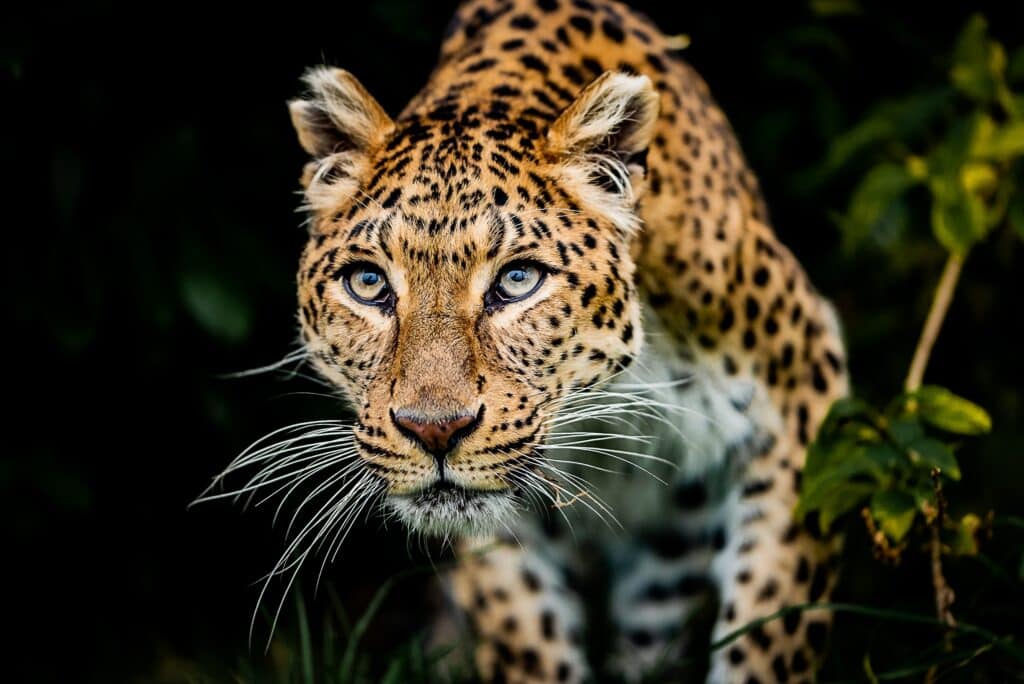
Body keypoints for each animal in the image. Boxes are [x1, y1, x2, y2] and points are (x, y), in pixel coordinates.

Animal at [280, 0, 849, 681]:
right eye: (367, 284)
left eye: (518, 280)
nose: (434, 431)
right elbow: (526, 633)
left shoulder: (801, 400)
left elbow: (773, 627)